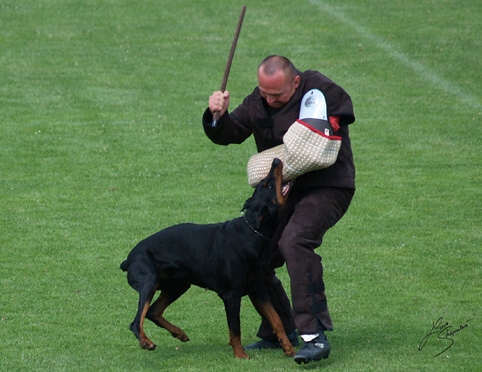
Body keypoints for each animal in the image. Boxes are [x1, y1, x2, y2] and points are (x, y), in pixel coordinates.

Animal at [120, 158, 294, 358]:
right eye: (268, 185)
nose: (276, 160)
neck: (253, 233)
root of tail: (128, 260)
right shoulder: (231, 295)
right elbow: (235, 328)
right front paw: (240, 355)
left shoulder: (257, 289)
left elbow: (276, 319)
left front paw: (289, 348)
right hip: (149, 282)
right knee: (136, 321)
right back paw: (145, 342)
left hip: (178, 285)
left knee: (153, 312)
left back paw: (179, 333)